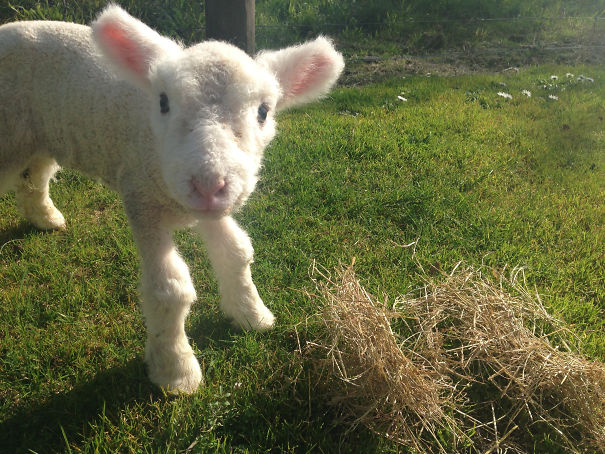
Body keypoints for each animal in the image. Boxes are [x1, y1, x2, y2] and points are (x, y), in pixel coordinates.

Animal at [0, 4, 344, 394]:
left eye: (263, 111)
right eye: (163, 102)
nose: (208, 184)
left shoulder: (206, 205)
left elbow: (236, 252)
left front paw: (252, 314)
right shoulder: (140, 193)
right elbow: (169, 288)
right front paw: (176, 372)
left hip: (41, 135)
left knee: (35, 174)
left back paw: (46, 218)